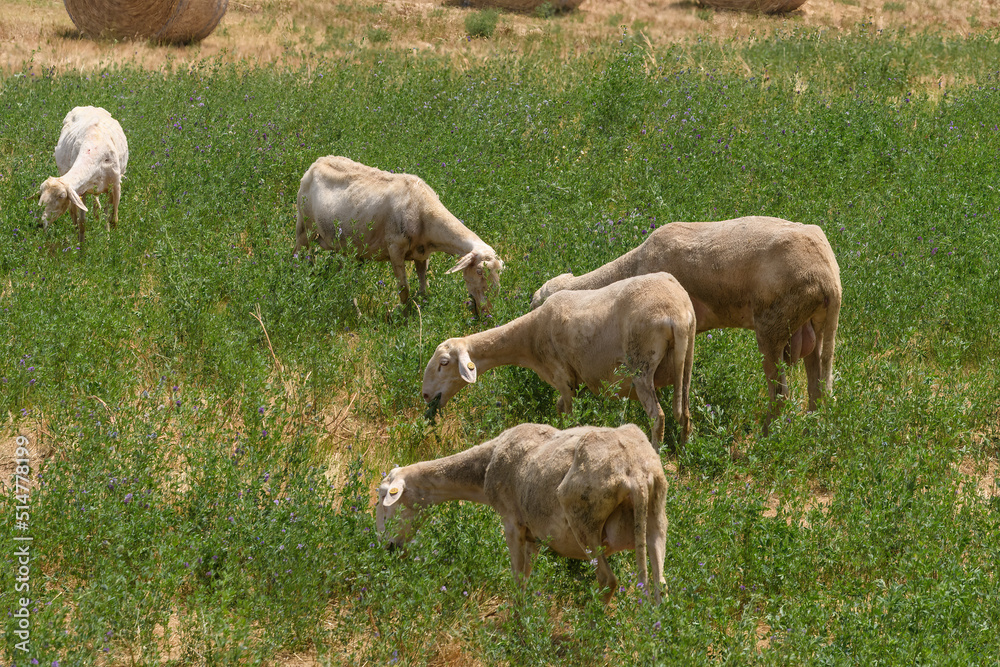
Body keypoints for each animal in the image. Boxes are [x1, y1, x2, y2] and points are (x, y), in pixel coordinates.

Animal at [37, 106, 129, 244]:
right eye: (41, 194)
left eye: (61, 196)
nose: (41, 223)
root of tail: (89, 106)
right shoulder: (82, 190)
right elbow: (82, 223)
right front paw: (81, 246)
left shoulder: (115, 185)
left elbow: (113, 219)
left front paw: (110, 243)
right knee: (76, 212)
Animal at [294, 156, 504, 316]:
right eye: (479, 271)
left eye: (499, 272)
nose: (488, 312)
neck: (424, 210)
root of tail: (317, 162)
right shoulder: (395, 247)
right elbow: (404, 289)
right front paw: (402, 317)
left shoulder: (422, 254)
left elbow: (424, 286)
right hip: (304, 226)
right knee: (302, 257)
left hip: (341, 244)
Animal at [377, 422, 668, 603]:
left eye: (383, 496)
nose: (387, 548)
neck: (486, 465)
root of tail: (636, 473)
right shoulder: (534, 535)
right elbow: (526, 578)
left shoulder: (512, 523)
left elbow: (517, 580)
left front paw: (517, 627)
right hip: (656, 518)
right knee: (659, 585)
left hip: (584, 520)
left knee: (608, 580)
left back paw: (590, 628)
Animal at [423, 272, 696, 450]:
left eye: (444, 362)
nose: (426, 396)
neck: (529, 337)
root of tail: (677, 313)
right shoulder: (578, 379)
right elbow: (559, 409)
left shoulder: (562, 376)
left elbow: (569, 415)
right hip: (686, 360)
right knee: (684, 412)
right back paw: (684, 450)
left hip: (641, 365)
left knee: (657, 416)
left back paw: (656, 452)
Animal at [530, 216, 842, 427]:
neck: (632, 267)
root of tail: (830, 279)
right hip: (814, 324)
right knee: (817, 387)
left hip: (774, 321)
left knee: (781, 392)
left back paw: (767, 434)